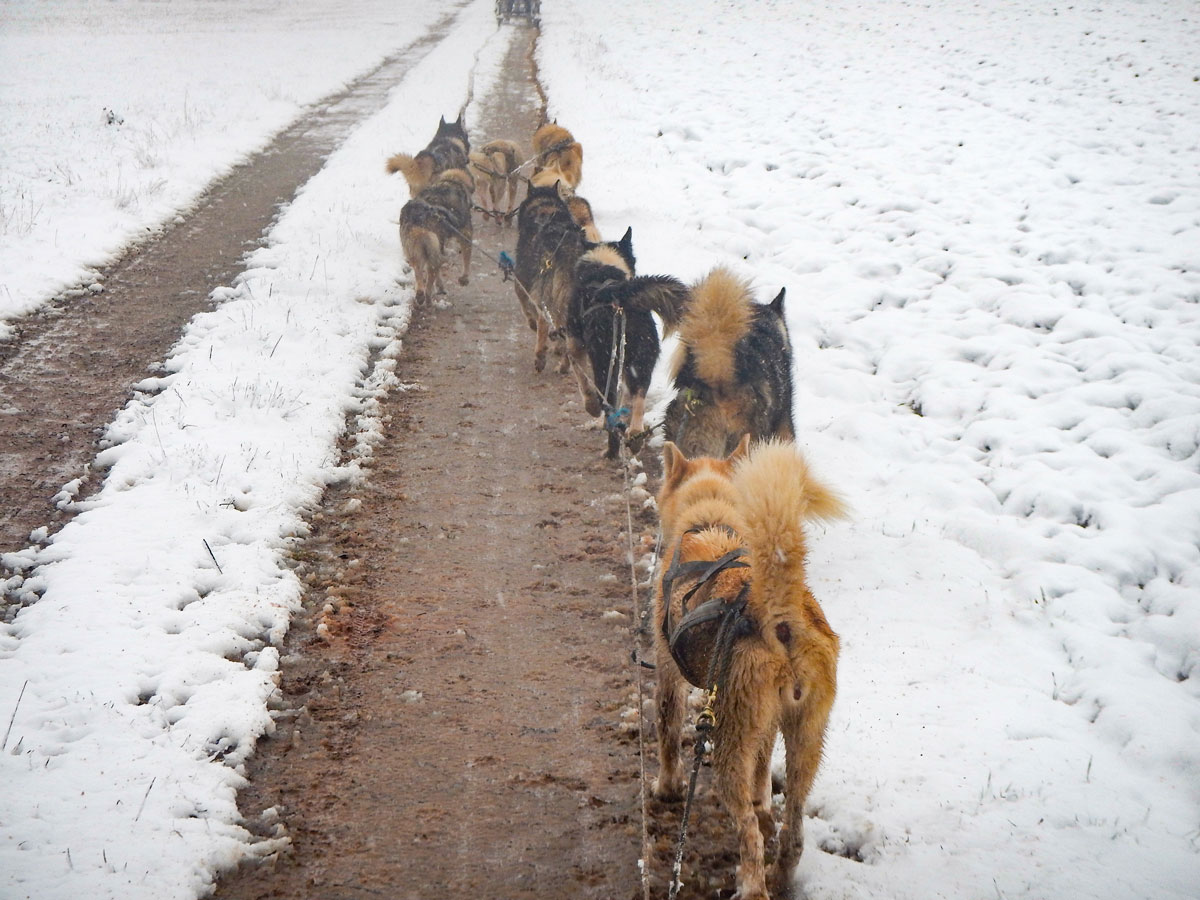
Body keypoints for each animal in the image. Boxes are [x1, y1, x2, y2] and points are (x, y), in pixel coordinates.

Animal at [657, 439, 844, 900]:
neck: (710, 520)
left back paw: (753, 884)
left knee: (750, 836)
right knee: (792, 829)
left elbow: (667, 731)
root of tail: (780, 619)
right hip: (807, 740)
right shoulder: (770, 723)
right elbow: (763, 769)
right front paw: (762, 802)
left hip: (727, 746)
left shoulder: (666, 675)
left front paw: (665, 787)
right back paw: (783, 873)